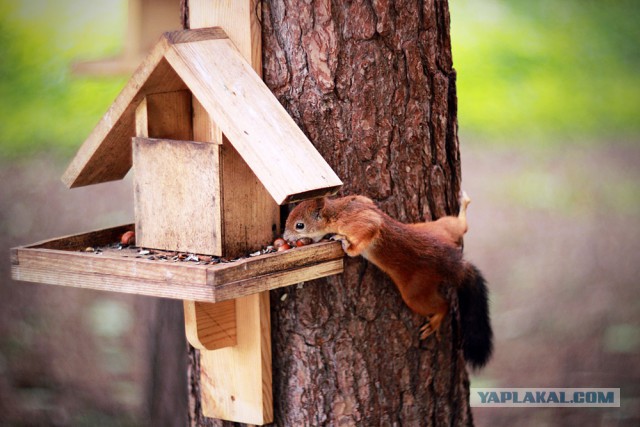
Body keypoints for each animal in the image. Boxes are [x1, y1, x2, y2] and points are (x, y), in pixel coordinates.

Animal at [282, 192, 492, 370]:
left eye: (299, 225)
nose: (285, 237)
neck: (338, 211)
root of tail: (448, 262)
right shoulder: (361, 200)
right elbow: (366, 199)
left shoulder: (360, 223)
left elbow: (364, 235)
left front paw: (343, 241)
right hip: (440, 228)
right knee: (460, 227)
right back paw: (464, 204)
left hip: (415, 291)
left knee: (444, 305)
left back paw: (435, 321)